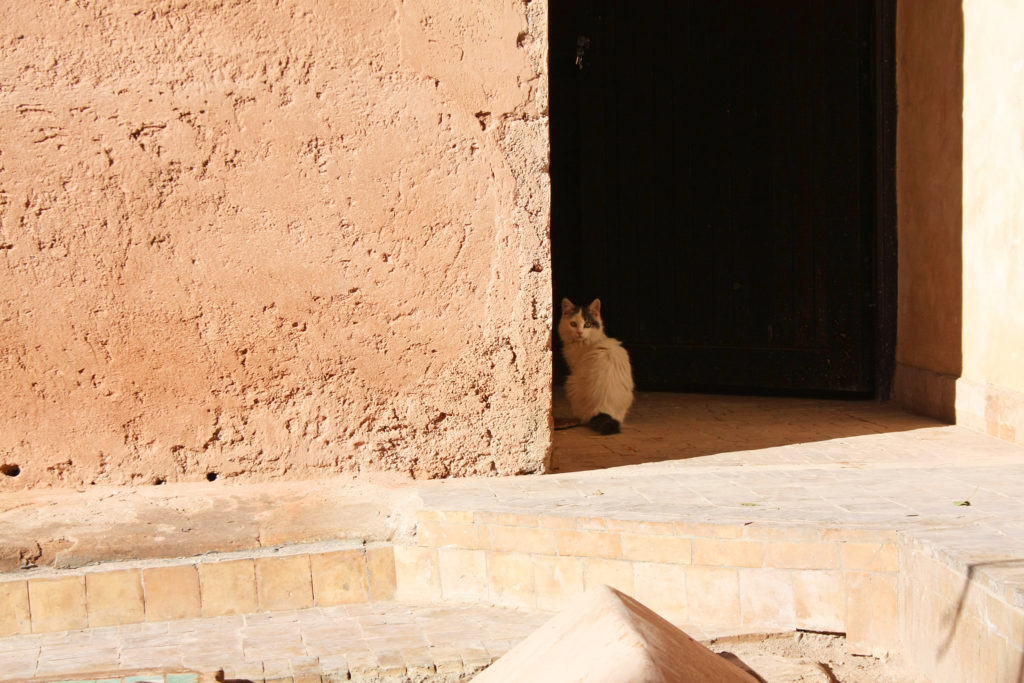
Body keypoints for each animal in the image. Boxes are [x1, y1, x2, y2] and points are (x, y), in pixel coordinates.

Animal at [561, 296, 630, 436]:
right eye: (573, 324)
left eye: (587, 324)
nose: (580, 332)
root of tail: (602, 408)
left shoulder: (575, 366)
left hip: (571, 382)